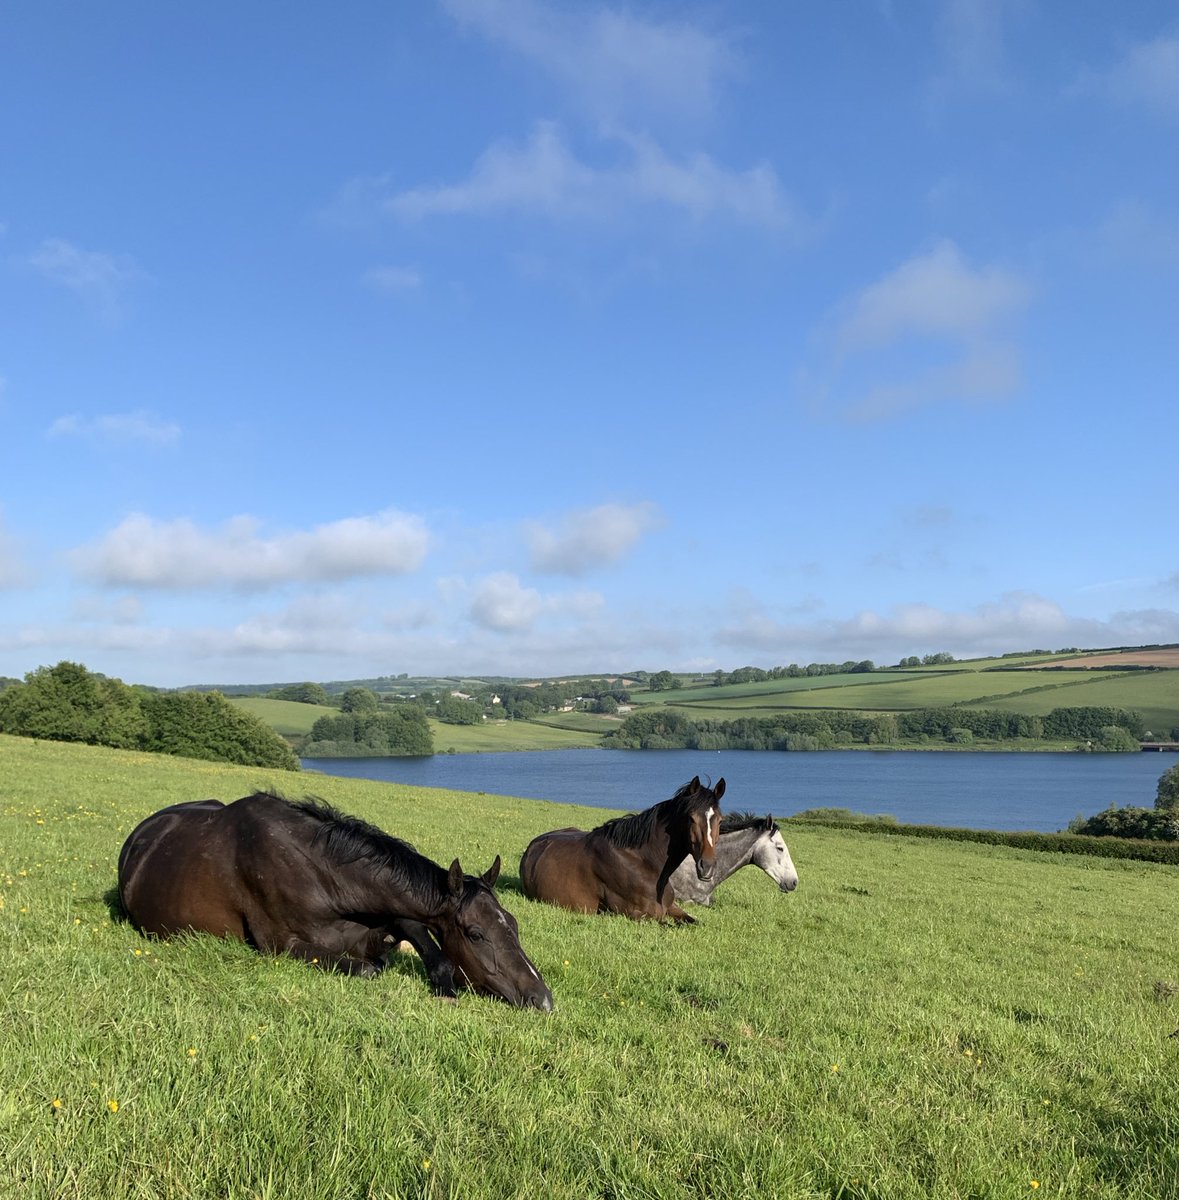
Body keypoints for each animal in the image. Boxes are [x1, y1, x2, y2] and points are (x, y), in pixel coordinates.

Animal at [117, 792, 557, 1008]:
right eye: (475, 934)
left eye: (514, 925)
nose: (543, 1000)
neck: (323, 874)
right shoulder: (282, 946)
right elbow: (369, 968)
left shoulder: (383, 922)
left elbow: (418, 935)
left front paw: (442, 983)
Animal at [521, 782, 725, 921]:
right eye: (691, 818)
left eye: (720, 820)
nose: (707, 867)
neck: (645, 862)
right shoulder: (637, 915)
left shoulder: (672, 908)